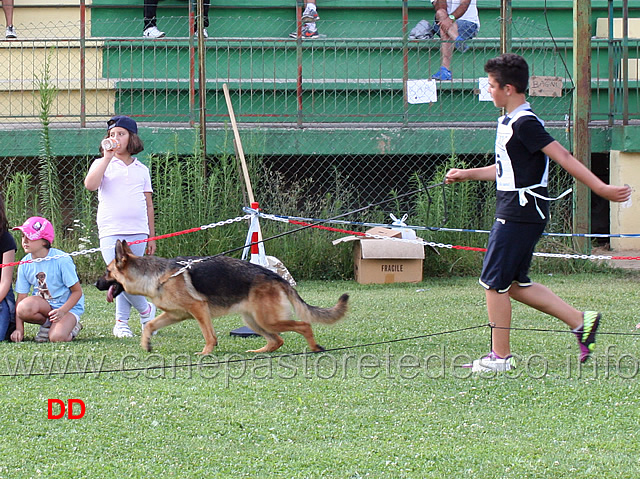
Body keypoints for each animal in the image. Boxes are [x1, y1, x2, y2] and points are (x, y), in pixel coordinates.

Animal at [94, 240, 350, 356]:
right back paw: (257, 352)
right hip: (254, 321)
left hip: (266, 320)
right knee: (277, 340)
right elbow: (150, 325)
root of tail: (276, 277)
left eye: (107, 272)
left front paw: (206, 353)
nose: (95, 284)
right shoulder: (175, 315)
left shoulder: (199, 309)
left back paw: (314, 347)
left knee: (304, 325)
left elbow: (209, 334)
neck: (156, 276)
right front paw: (146, 343)